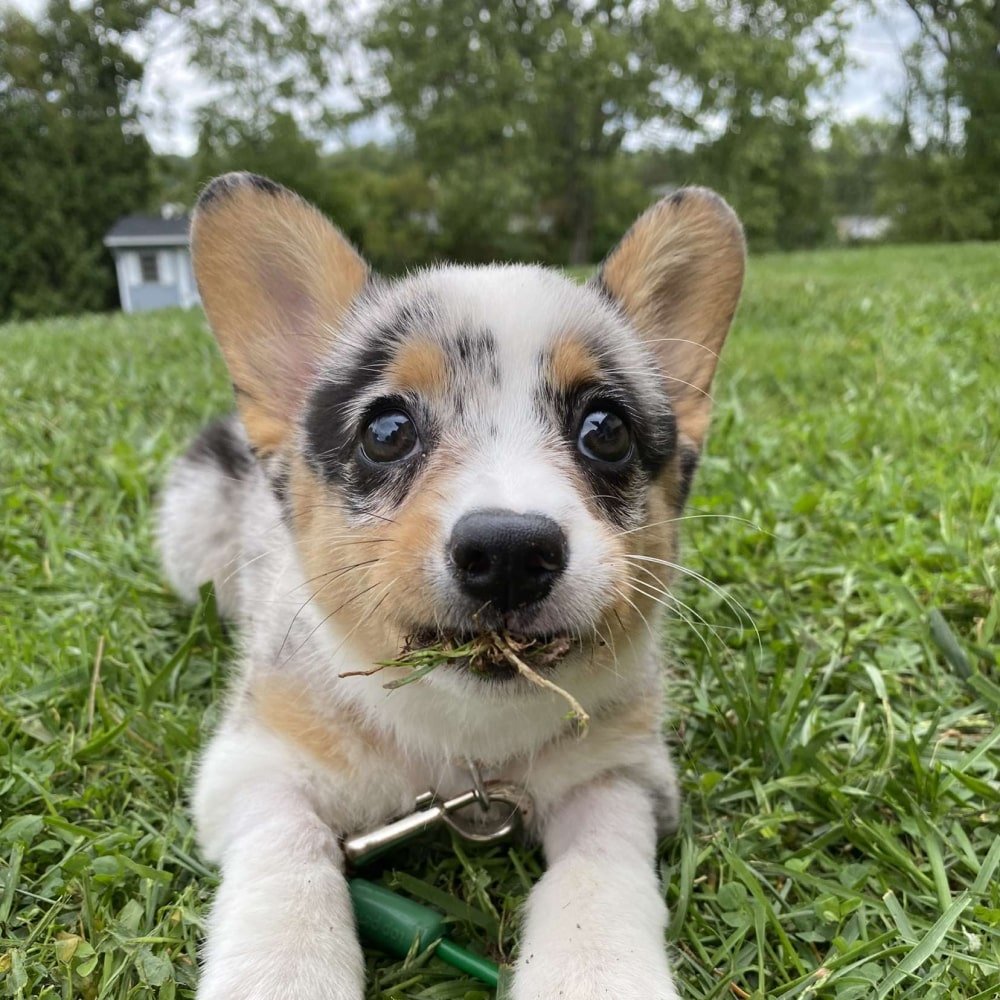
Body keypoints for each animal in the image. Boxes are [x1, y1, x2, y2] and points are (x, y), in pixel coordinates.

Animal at [158, 174, 744, 1000]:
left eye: (606, 429)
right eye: (386, 430)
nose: (509, 552)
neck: (463, 737)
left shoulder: (623, 775)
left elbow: (597, 869)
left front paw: (595, 968)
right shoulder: (254, 766)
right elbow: (290, 858)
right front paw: (285, 968)